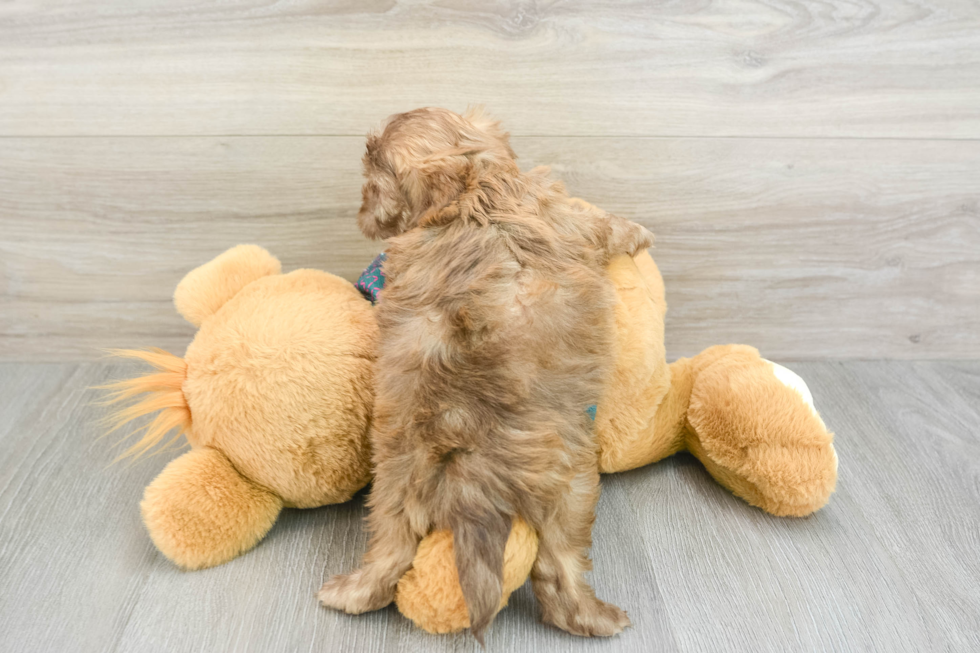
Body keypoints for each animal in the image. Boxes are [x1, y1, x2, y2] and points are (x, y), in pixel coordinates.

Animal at [322, 108, 656, 640]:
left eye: (374, 186)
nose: (361, 212)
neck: (472, 191)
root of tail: (468, 468)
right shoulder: (571, 217)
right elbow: (608, 225)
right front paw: (639, 231)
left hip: (392, 492)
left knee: (389, 555)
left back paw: (348, 595)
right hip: (573, 489)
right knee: (559, 571)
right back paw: (598, 618)